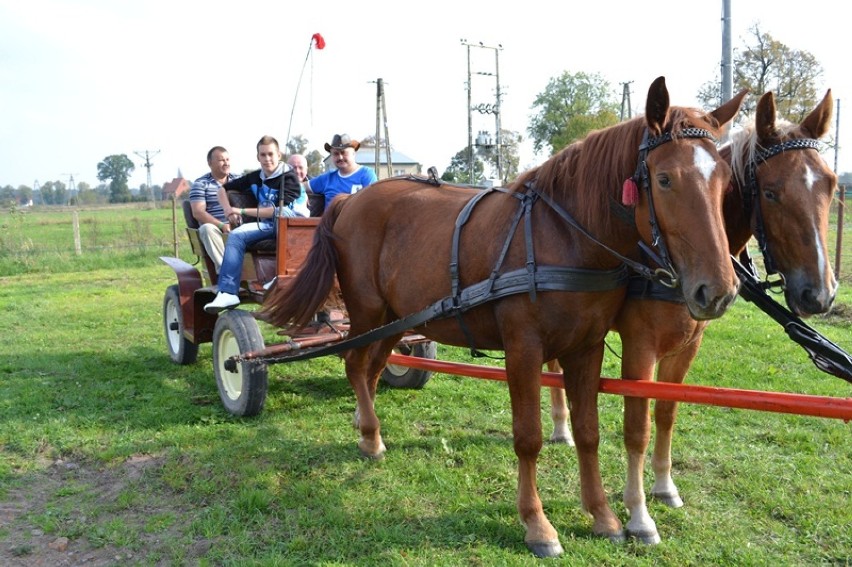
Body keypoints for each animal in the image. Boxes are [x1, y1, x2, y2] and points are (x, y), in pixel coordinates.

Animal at [262, 76, 744, 560]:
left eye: (725, 181)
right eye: (664, 179)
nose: (718, 291)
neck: (563, 235)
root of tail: (350, 198)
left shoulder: (585, 348)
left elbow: (588, 431)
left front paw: (603, 516)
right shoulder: (523, 350)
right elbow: (528, 437)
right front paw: (538, 526)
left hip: (395, 319)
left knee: (372, 368)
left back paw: (370, 434)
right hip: (367, 311)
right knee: (354, 364)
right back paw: (369, 431)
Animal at [544, 89, 832, 544]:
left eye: (832, 184)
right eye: (770, 193)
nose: (820, 293)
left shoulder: (687, 346)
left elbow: (666, 414)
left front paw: (664, 488)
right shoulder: (639, 347)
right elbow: (638, 427)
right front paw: (639, 515)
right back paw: (559, 428)